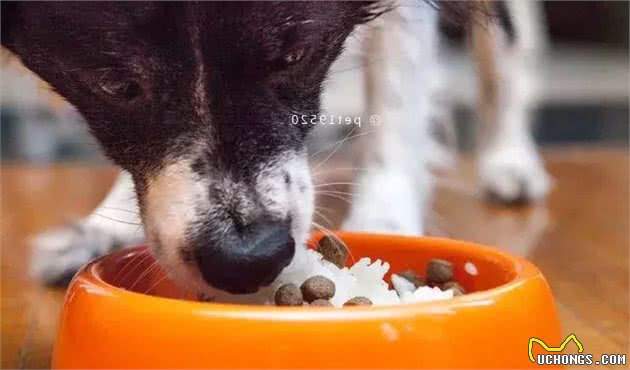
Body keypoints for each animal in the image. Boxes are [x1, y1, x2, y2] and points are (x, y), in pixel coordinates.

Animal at [2, 0, 548, 294]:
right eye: (114, 85)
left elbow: (395, 106)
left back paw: (511, 161)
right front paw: (103, 226)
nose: (247, 259)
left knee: (506, 45)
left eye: (295, 56)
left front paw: (385, 225)